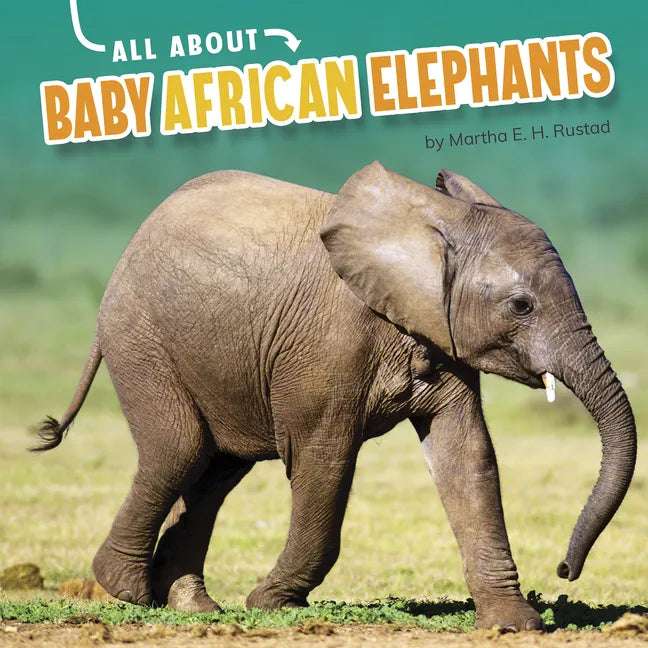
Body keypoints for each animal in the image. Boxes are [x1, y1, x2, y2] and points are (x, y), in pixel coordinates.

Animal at [35, 162, 636, 631]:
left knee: (214, 470)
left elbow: (467, 455)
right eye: (521, 305)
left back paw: (194, 608)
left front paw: (513, 625)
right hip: (141, 336)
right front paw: (271, 603)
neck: (432, 224)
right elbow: (323, 457)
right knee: (178, 449)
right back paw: (127, 590)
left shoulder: (437, 332)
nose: (564, 571)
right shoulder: (328, 346)